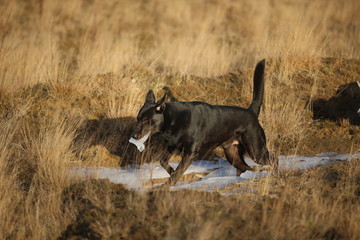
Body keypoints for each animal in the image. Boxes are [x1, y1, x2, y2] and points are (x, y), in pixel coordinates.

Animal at [131, 60, 278, 188]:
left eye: (146, 120)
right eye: (138, 119)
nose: (134, 136)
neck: (173, 120)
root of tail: (251, 111)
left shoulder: (189, 154)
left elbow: (178, 171)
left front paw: (167, 185)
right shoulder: (172, 148)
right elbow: (164, 163)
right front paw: (172, 176)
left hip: (256, 149)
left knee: (274, 160)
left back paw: (275, 176)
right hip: (232, 154)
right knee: (245, 167)